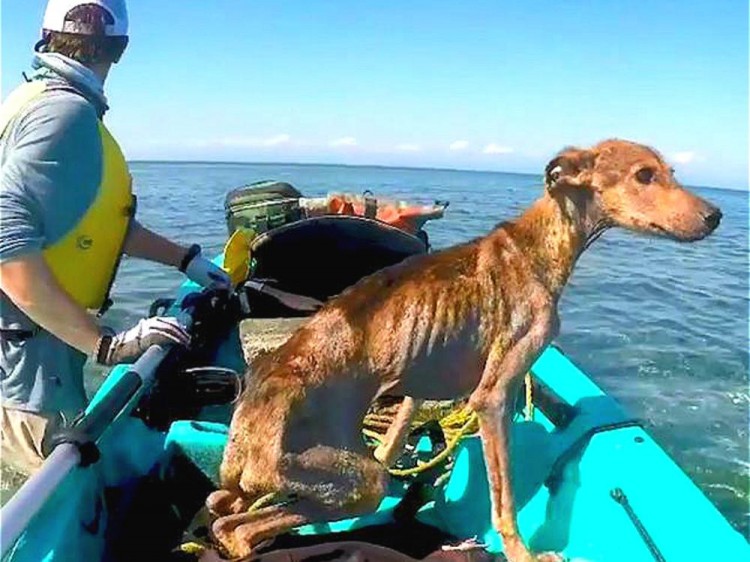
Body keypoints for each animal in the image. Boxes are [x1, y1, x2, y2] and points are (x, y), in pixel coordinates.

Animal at [206, 138, 724, 556]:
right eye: (644, 175)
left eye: (670, 171)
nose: (715, 216)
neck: (538, 245)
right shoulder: (492, 397)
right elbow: (504, 499)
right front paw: (523, 554)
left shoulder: (421, 378)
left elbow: (399, 430)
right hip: (354, 480)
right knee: (238, 528)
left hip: (296, 479)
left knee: (224, 509)